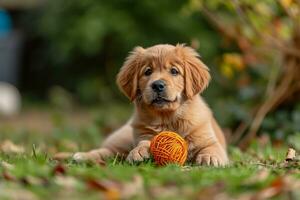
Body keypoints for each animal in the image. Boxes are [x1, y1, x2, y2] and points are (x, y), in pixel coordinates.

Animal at [74, 44, 229, 166]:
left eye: (174, 71)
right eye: (148, 71)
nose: (157, 85)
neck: (167, 118)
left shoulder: (208, 139)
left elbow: (212, 148)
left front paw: (210, 157)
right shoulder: (143, 134)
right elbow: (145, 141)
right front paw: (138, 151)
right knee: (107, 151)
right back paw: (82, 156)